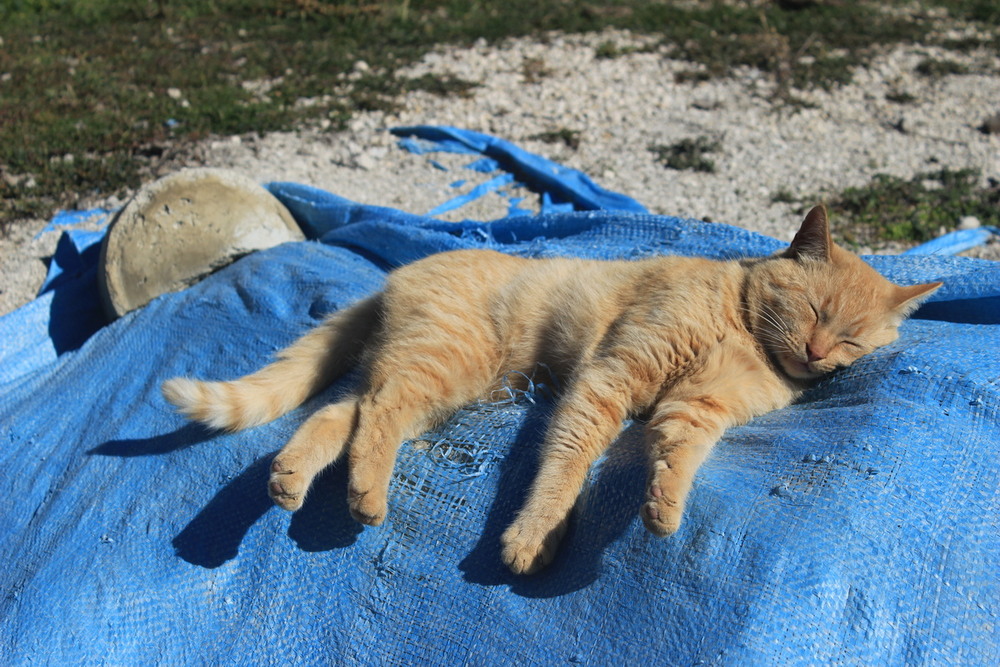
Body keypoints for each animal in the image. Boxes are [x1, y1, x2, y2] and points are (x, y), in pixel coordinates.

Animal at [162, 207, 936, 576]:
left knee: (341, 412)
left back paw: (296, 480)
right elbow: (565, 464)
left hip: (436, 379)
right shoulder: (612, 377)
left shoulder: (697, 410)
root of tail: (396, 276)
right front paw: (537, 534)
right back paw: (367, 495)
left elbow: (679, 456)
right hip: (445, 365)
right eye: (815, 313)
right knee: (374, 411)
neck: (746, 330)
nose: (817, 355)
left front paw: (663, 506)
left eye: (853, 340)